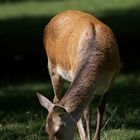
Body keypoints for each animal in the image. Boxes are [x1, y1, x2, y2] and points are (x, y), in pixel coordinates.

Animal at [37, 10, 120, 140]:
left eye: (58, 130)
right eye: (46, 129)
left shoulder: (113, 79)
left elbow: (101, 108)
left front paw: (96, 137)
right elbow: (87, 112)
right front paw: (87, 137)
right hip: (52, 67)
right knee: (56, 98)